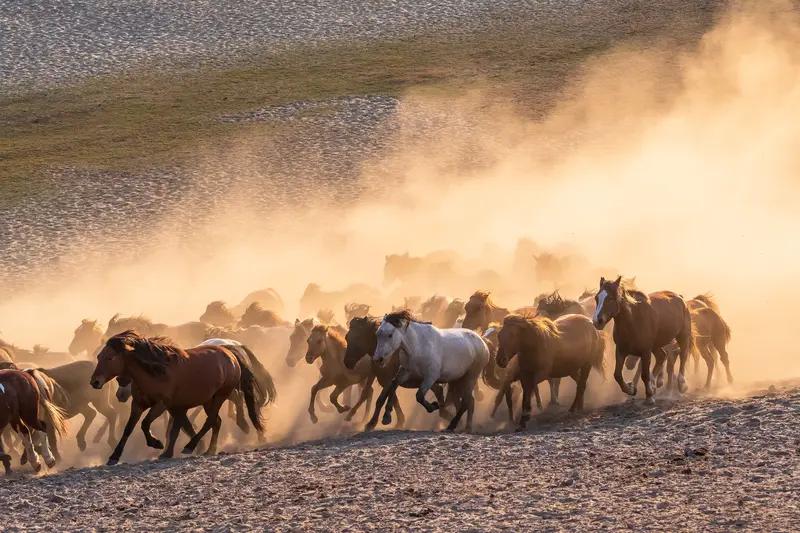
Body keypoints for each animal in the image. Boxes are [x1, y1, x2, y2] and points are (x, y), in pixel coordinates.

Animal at [90, 331, 264, 464]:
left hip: (220, 395)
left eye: (110, 358)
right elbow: (129, 429)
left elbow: (146, 424)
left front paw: (156, 443)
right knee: (216, 421)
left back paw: (190, 446)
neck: (154, 373)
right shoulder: (139, 405)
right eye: (99, 357)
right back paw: (210, 449)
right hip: (208, 400)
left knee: (211, 420)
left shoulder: (162, 404)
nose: (95, 382)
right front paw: (114, 457)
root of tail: (230, 353)